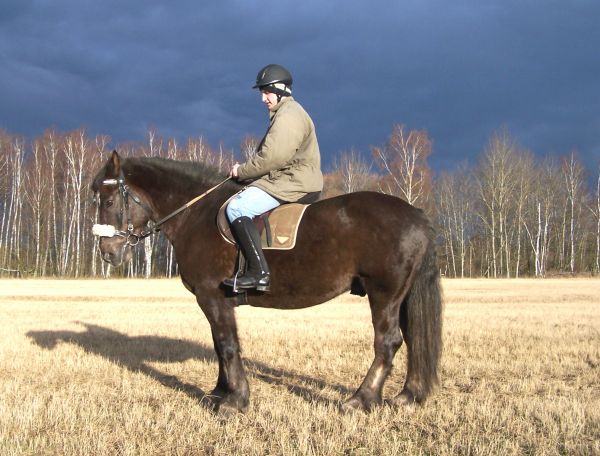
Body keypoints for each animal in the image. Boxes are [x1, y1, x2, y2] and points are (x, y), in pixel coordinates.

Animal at [91, 151, 442, 416]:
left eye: (107, 202)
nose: (108, 253)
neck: (196, 213)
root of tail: (416, 214)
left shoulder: (212, 297)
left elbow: (227, 345)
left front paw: (234, 401)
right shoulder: (215, 302)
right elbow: (220, 345)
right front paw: (219, 393)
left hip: (384, 294)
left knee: (388, 342)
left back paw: (361, 399)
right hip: (401, 296)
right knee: (412, 338)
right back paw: (408, 396)